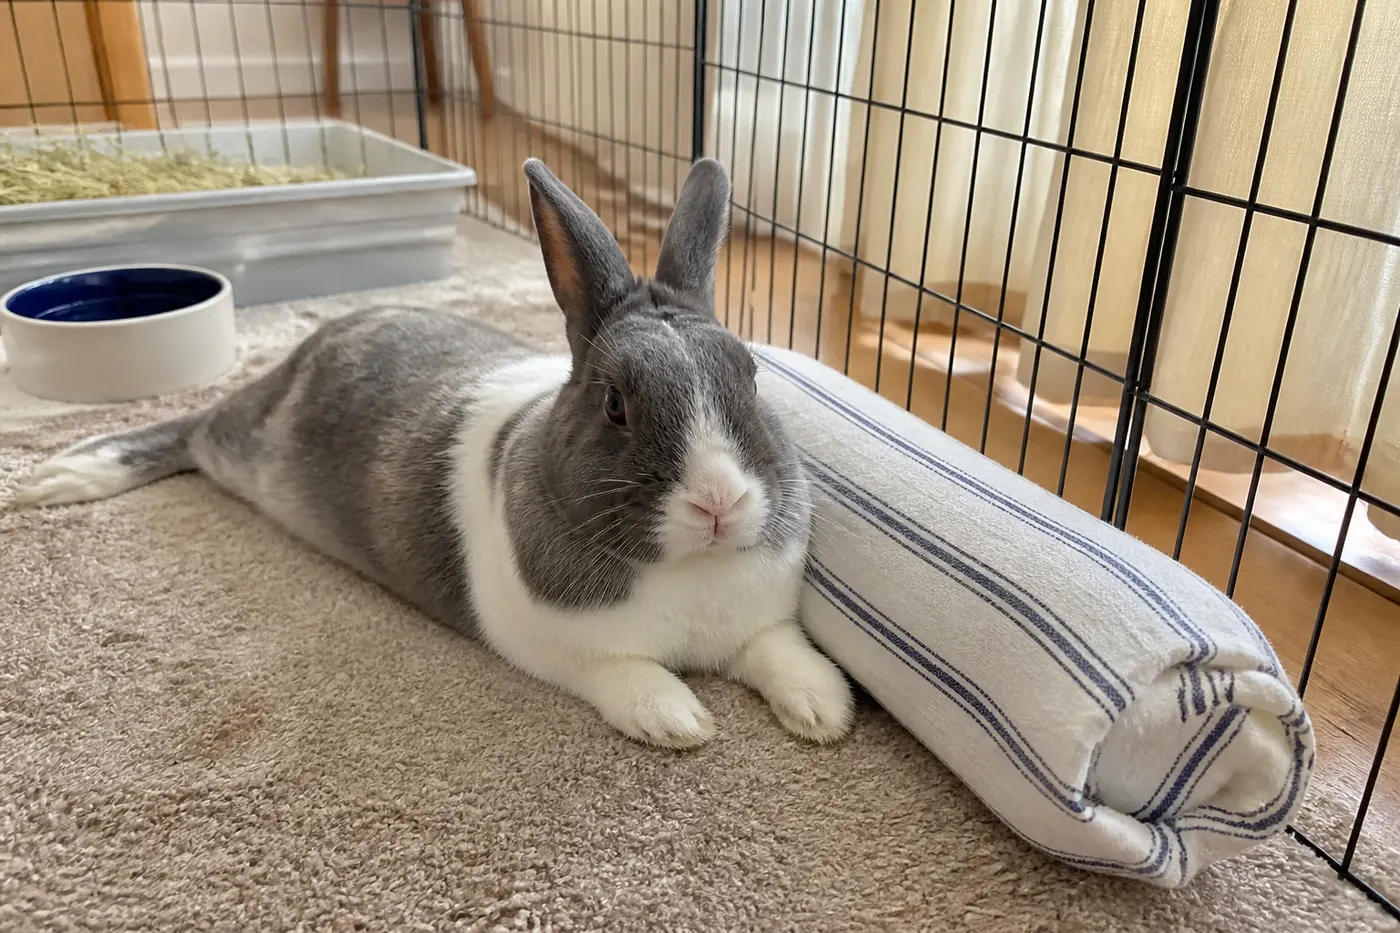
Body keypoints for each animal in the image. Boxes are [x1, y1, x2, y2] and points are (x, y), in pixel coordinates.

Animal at [12, 157, 854, 750]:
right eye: (615, 403)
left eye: (750, 376)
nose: (719, 501)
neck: (689, 568)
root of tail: (314, 344)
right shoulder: (564, 651)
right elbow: (629, 675)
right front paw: (681, 721)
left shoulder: (763, 623)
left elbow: (782, 651)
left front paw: (826, 709)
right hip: (232, 441)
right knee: (185, 428)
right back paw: (61, 476)